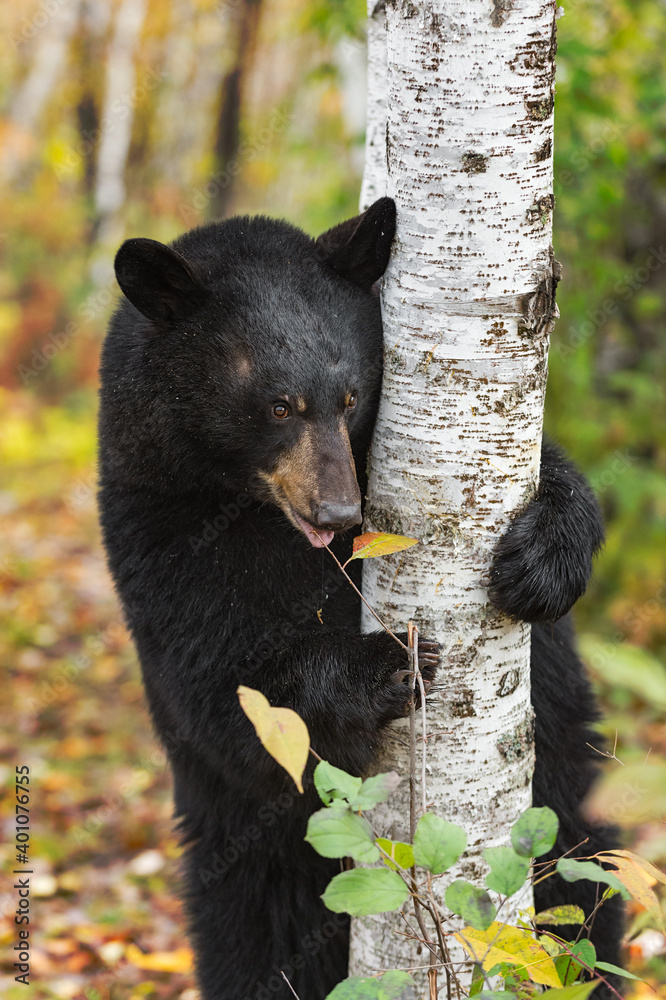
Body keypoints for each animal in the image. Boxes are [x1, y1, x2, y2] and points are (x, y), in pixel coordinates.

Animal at [98, 197, 622, 1000]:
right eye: (278, 406)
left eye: (350, 397)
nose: (341, 511)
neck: (259, 515)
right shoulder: (155, 533)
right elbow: (226, 693)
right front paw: (383, 666)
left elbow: (553, 475)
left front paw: (539, 559)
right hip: (251, 863)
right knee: (256, 943)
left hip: (567, 798)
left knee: (583, 884)